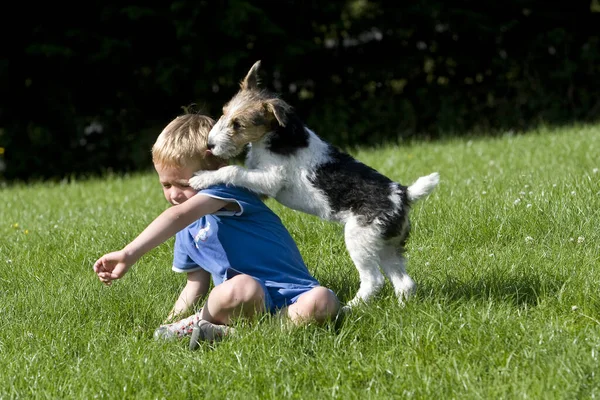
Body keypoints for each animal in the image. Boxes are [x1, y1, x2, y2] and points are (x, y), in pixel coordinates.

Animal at [190, 61, 438, 308]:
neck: (277, 137)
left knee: (374, 280)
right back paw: (403, 307)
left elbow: (232, 169)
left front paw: (200, 178)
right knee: (404, 282)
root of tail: (403, 194)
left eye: (238, 124)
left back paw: (350, 308)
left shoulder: (270, 179)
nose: (209, 145)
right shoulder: (261, 183)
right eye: (223, 113)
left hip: (360, 239)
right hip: (386, 244)